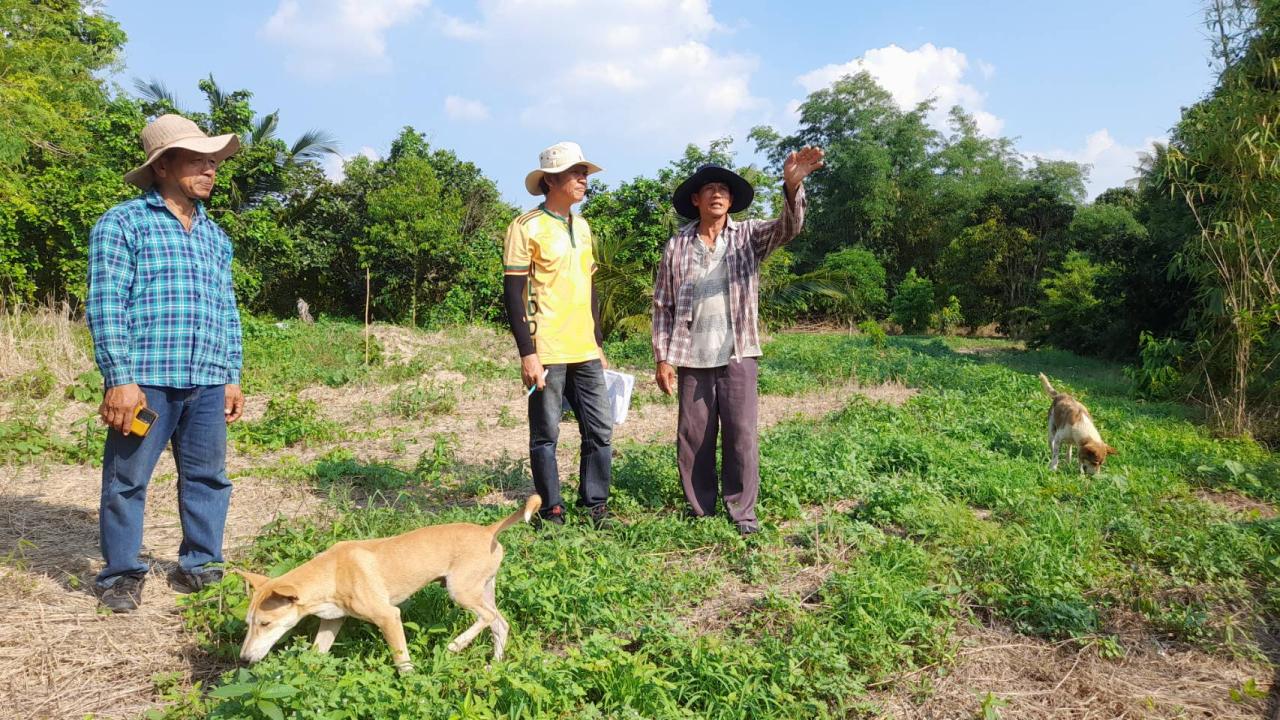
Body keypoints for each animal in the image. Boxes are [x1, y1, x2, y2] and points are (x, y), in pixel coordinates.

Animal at [232, 489, 537, 671]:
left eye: (265, 624)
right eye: (248, 623)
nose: (244, 659)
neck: (331, 573)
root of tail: (489, 530)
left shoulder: (389, 616)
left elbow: (402, 659)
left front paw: (411, 684)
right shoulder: (332, 620)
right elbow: (318, 652)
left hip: (459, 591)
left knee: (487, 617)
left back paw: (456, 644)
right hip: (482, 589)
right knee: (500, 624)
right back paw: (494, 665)